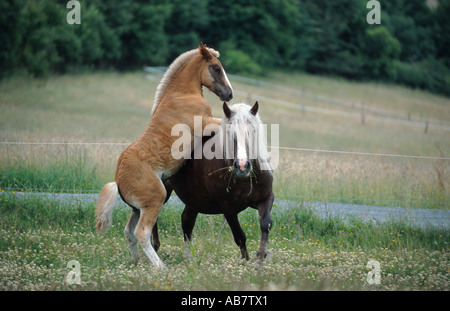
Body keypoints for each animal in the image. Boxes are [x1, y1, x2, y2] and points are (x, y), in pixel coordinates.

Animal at [96, 44, 234, 270]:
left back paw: (138, 262)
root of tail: (118, 181)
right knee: (141, 233)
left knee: (129, 232)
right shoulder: (206, 123)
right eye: (216, 68)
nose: (229, 94)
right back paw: (160, 268)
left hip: (138, 209)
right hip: (156, 200)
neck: (181, 94)